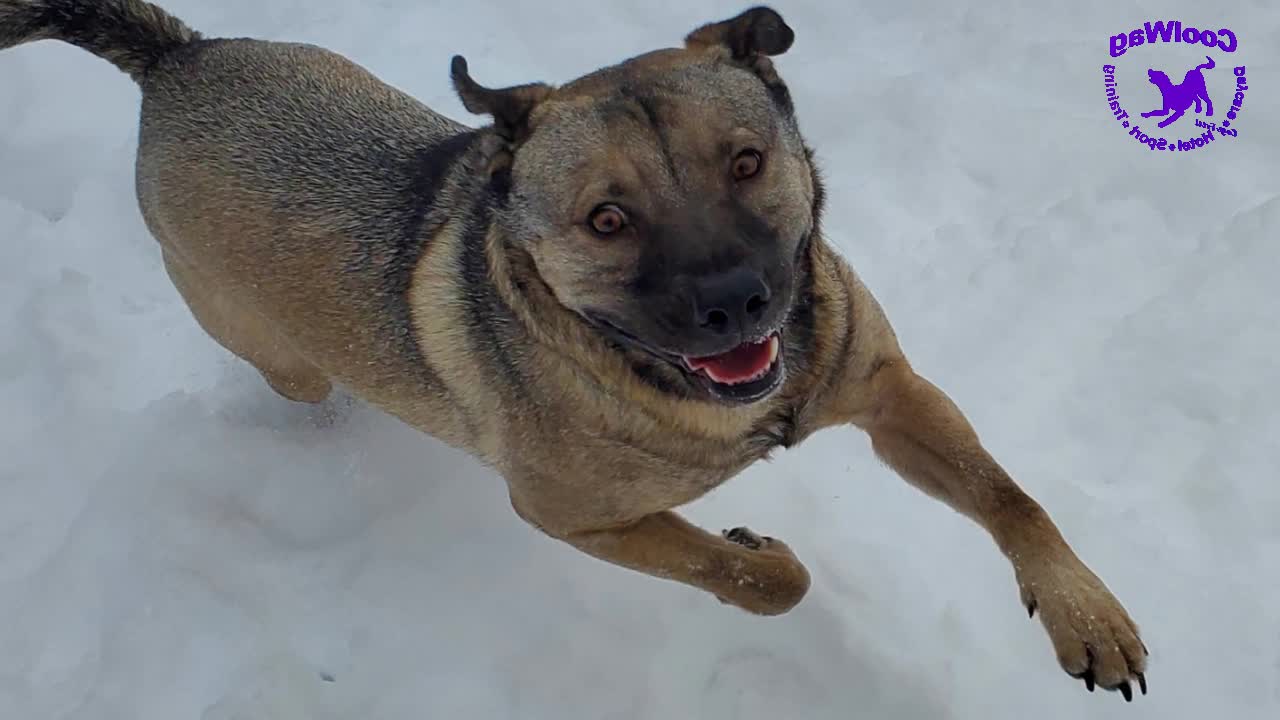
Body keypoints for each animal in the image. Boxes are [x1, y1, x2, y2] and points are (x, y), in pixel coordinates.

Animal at [2, 0, 1152, 696]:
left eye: (746, 162)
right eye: (607, 219)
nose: (737, 303)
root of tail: (175, 57)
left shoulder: (887, 388)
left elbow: (1010, 497)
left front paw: (1085, 614)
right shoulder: (573, 517)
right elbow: (752, 580)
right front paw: (761, 553)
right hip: (269, 346)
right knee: (299, 382)